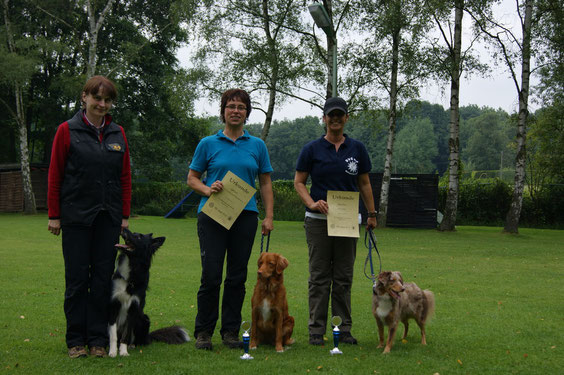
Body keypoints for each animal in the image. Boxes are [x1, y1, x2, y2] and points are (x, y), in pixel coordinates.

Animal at [109, 229, 191, 358]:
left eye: (138, 237)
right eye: (134, 233)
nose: (123, 229)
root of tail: (149, 336)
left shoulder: (133, 309)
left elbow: (126, 335)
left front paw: (123, 352)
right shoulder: (114, 305)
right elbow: (113, 334)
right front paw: (112, 351)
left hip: (144, 319)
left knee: (139, 340)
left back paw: (132, 345)